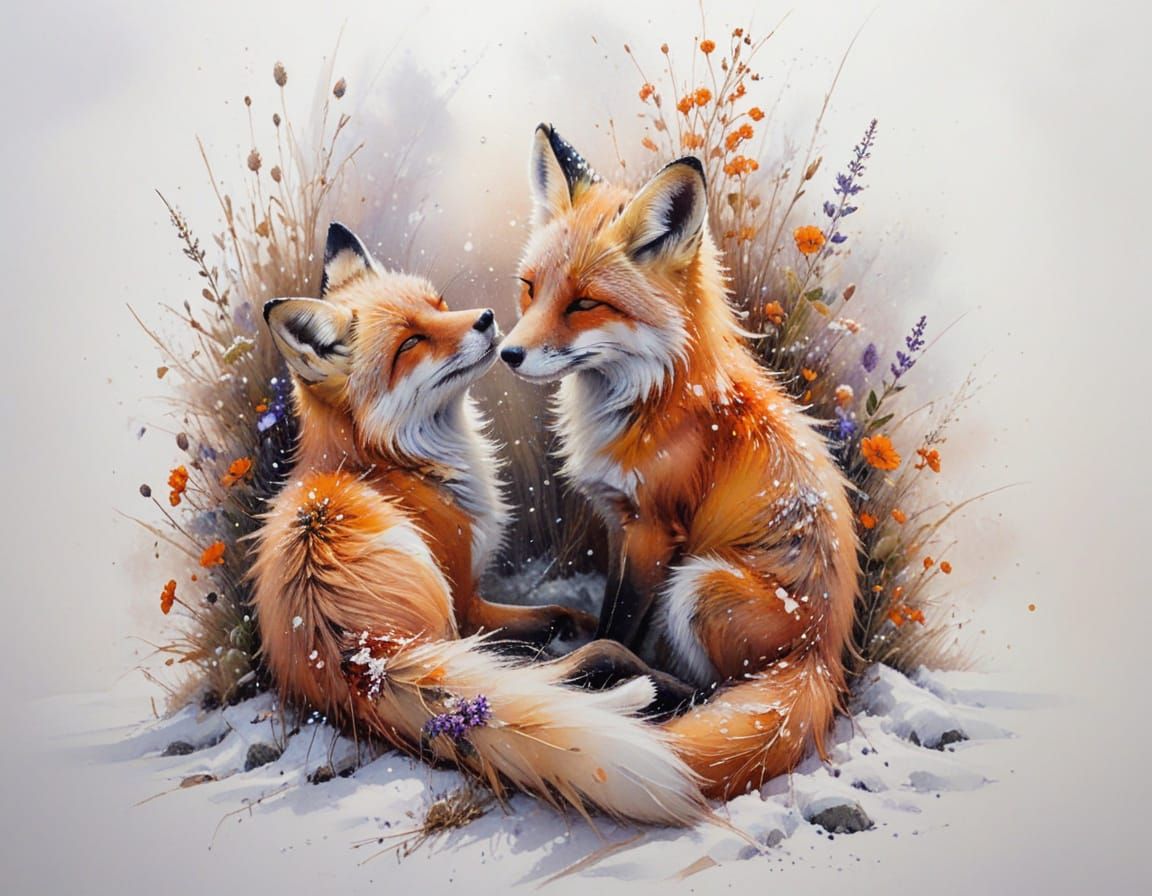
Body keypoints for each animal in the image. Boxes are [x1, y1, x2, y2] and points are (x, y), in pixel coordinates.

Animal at [249, 222, 708, 825]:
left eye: (439, 305)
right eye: (410, 344)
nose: (488, 319)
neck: (387, 463)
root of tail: (361, 660)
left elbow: (562, 616)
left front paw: (576, 622)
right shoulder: (468, 600)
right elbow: (560, 622)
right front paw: (587, 634)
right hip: (449, 623)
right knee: (567, 667)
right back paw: (664, 685)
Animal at [499, 125, 860, 800]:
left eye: (584, 304)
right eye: (531, 288)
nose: (507, 353)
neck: (652, 399)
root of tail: (825, 663)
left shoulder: (654, 530)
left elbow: (618, 625)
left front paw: (600, 662)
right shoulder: (620, 522)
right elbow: (611, 609)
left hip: (700, 584)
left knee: (710, 691)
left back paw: (643, 689)